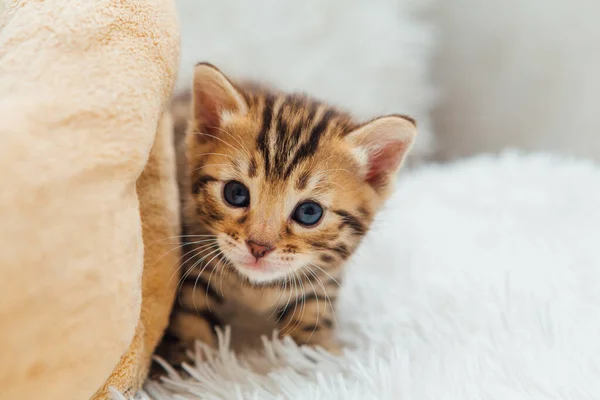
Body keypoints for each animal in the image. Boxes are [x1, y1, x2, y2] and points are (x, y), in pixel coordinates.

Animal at [164, 62, 418, 362]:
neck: (256, 290)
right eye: (235, 193)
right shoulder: (193, 264)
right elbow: (190, 322)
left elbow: (314, 327)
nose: (258, 247)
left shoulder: (321, 284)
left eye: (309, 212)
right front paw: (194, 360)